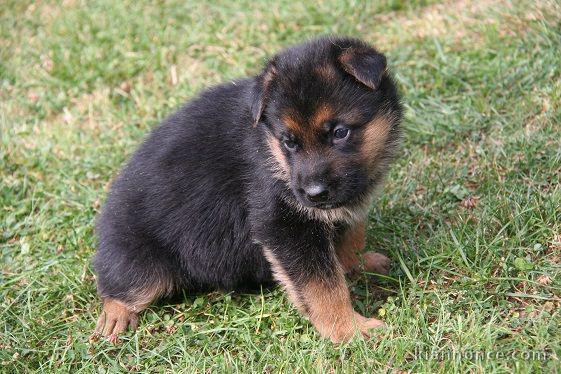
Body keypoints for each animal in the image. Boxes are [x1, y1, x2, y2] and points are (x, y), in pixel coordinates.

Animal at [94, 36, 402, 344]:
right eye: (289, 142)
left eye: (340, 132)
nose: (314, 194)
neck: (270, 149)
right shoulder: (284, 224)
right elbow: (323, 286)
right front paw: (349, 329)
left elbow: (350, 236)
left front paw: (356, 264)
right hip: (145, 266)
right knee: (119, 286)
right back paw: (116, 314)